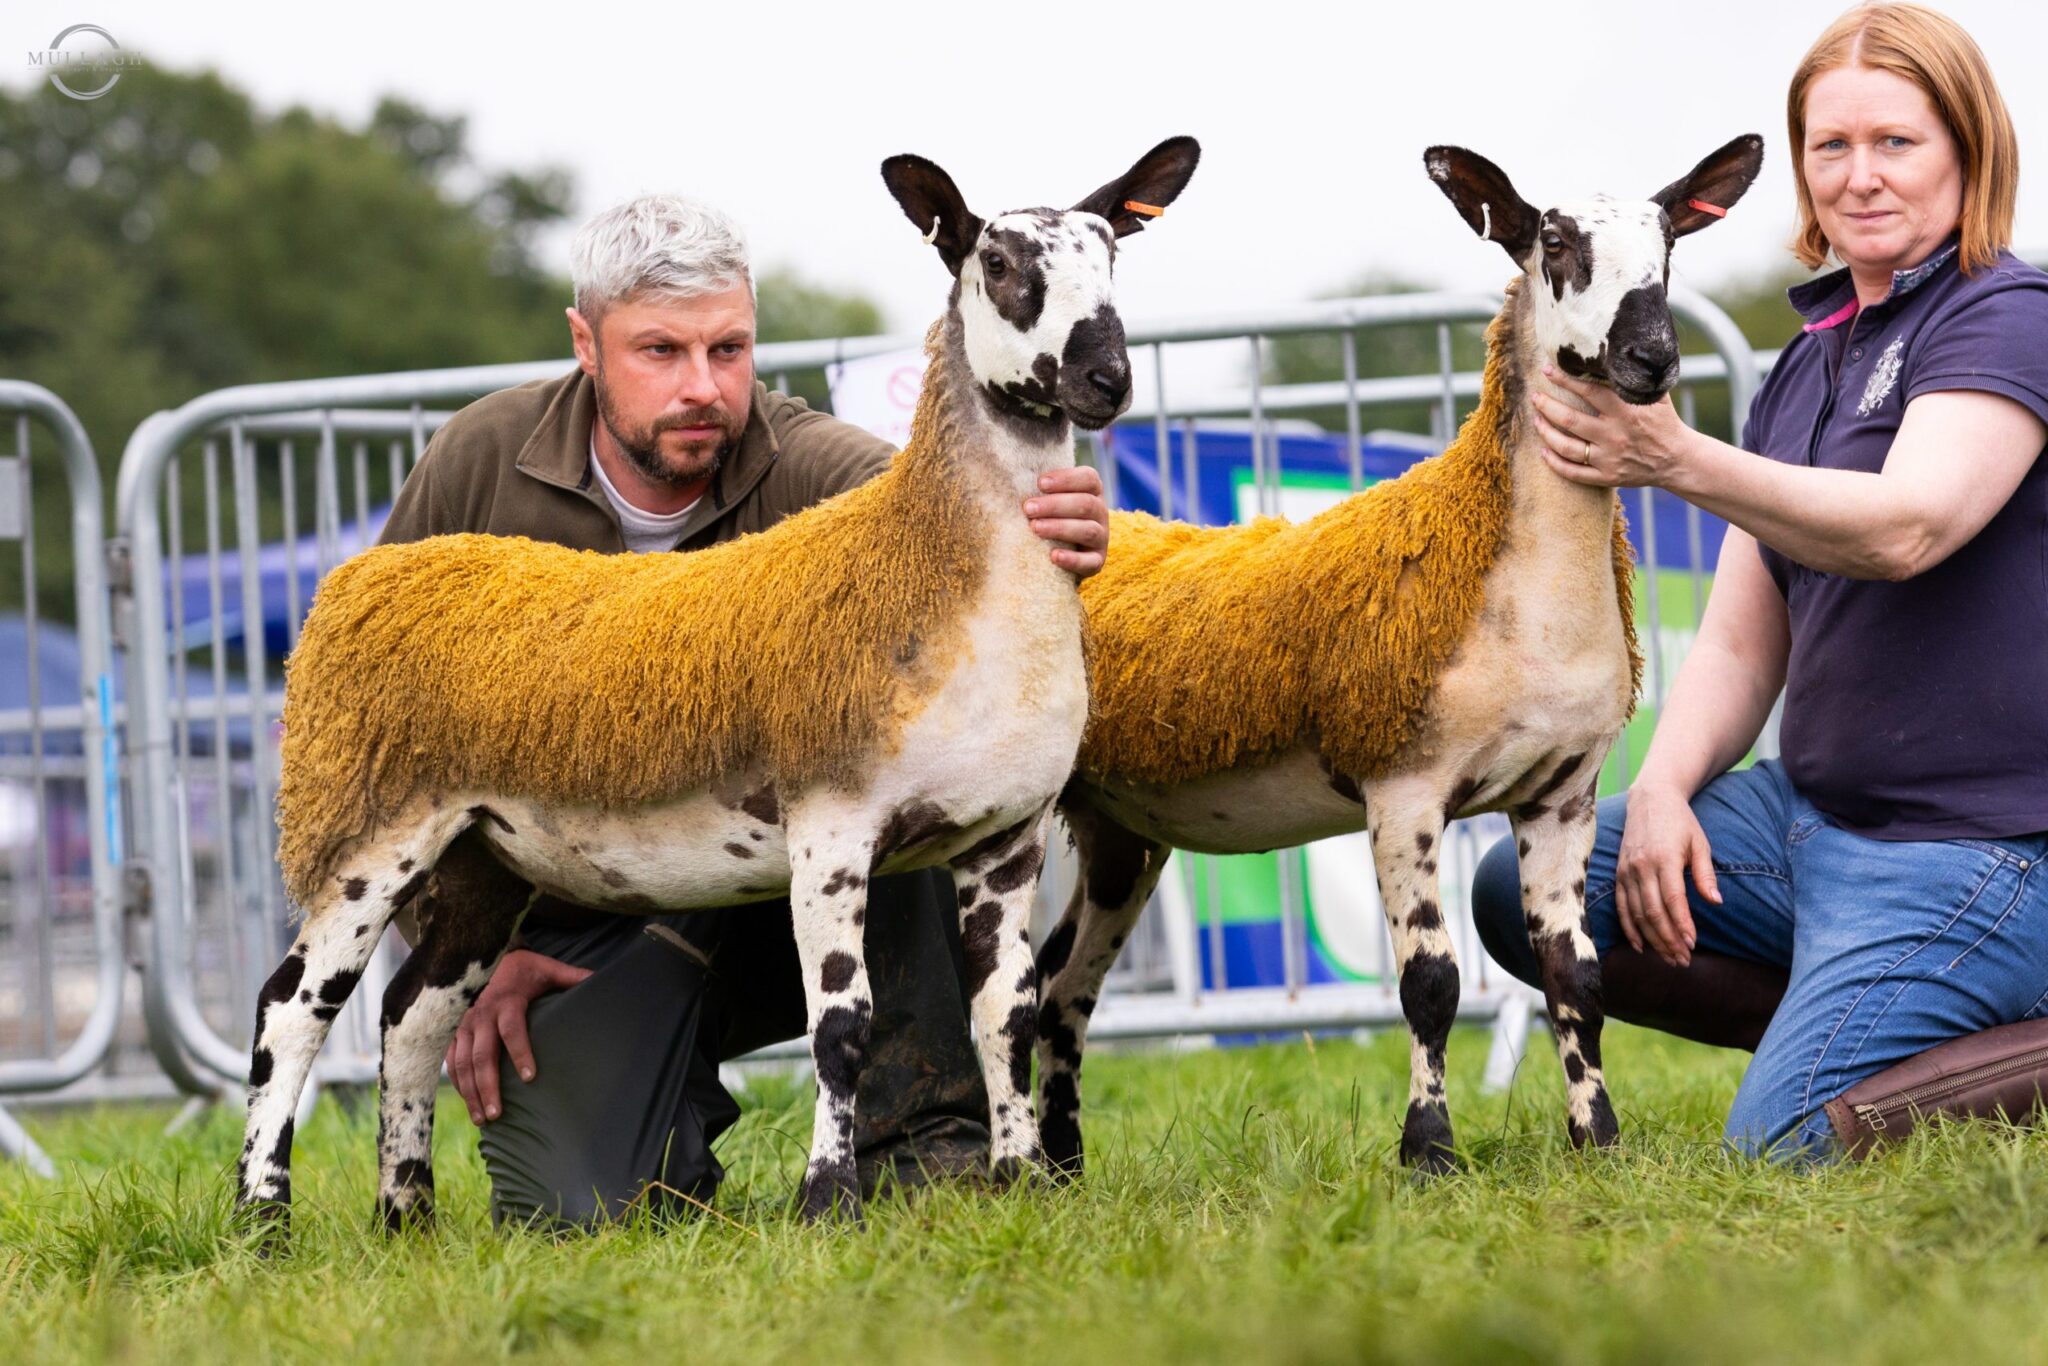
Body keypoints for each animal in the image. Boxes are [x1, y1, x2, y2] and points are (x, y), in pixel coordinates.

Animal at [237, 139, 1196, 1236]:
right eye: (997, 264)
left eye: (1113, 253)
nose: (1105, 379)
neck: (940, 568)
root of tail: (363, 575)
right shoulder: (831, 823)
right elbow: (841, 1028)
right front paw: (828, 1201)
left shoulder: (1006, 834)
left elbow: (1009, 1013)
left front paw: (1023, 1179)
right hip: (369, 823)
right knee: (291, 1008)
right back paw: (262, 1222)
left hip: (483, 854)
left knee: (411, 1019)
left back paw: (407, 1218)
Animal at [1032, 141, 1769, 1187]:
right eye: (1554, 241)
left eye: (1669, 243)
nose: (1654, 358)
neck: (1509, 570)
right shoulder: (1402, 785)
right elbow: (1430, 983)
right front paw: (1429, 1153)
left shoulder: (1562, 793)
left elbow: (1576, 977)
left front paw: (1599, 1141)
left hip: (1116, 829)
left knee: (1063, 988)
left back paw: (1062, 1169)